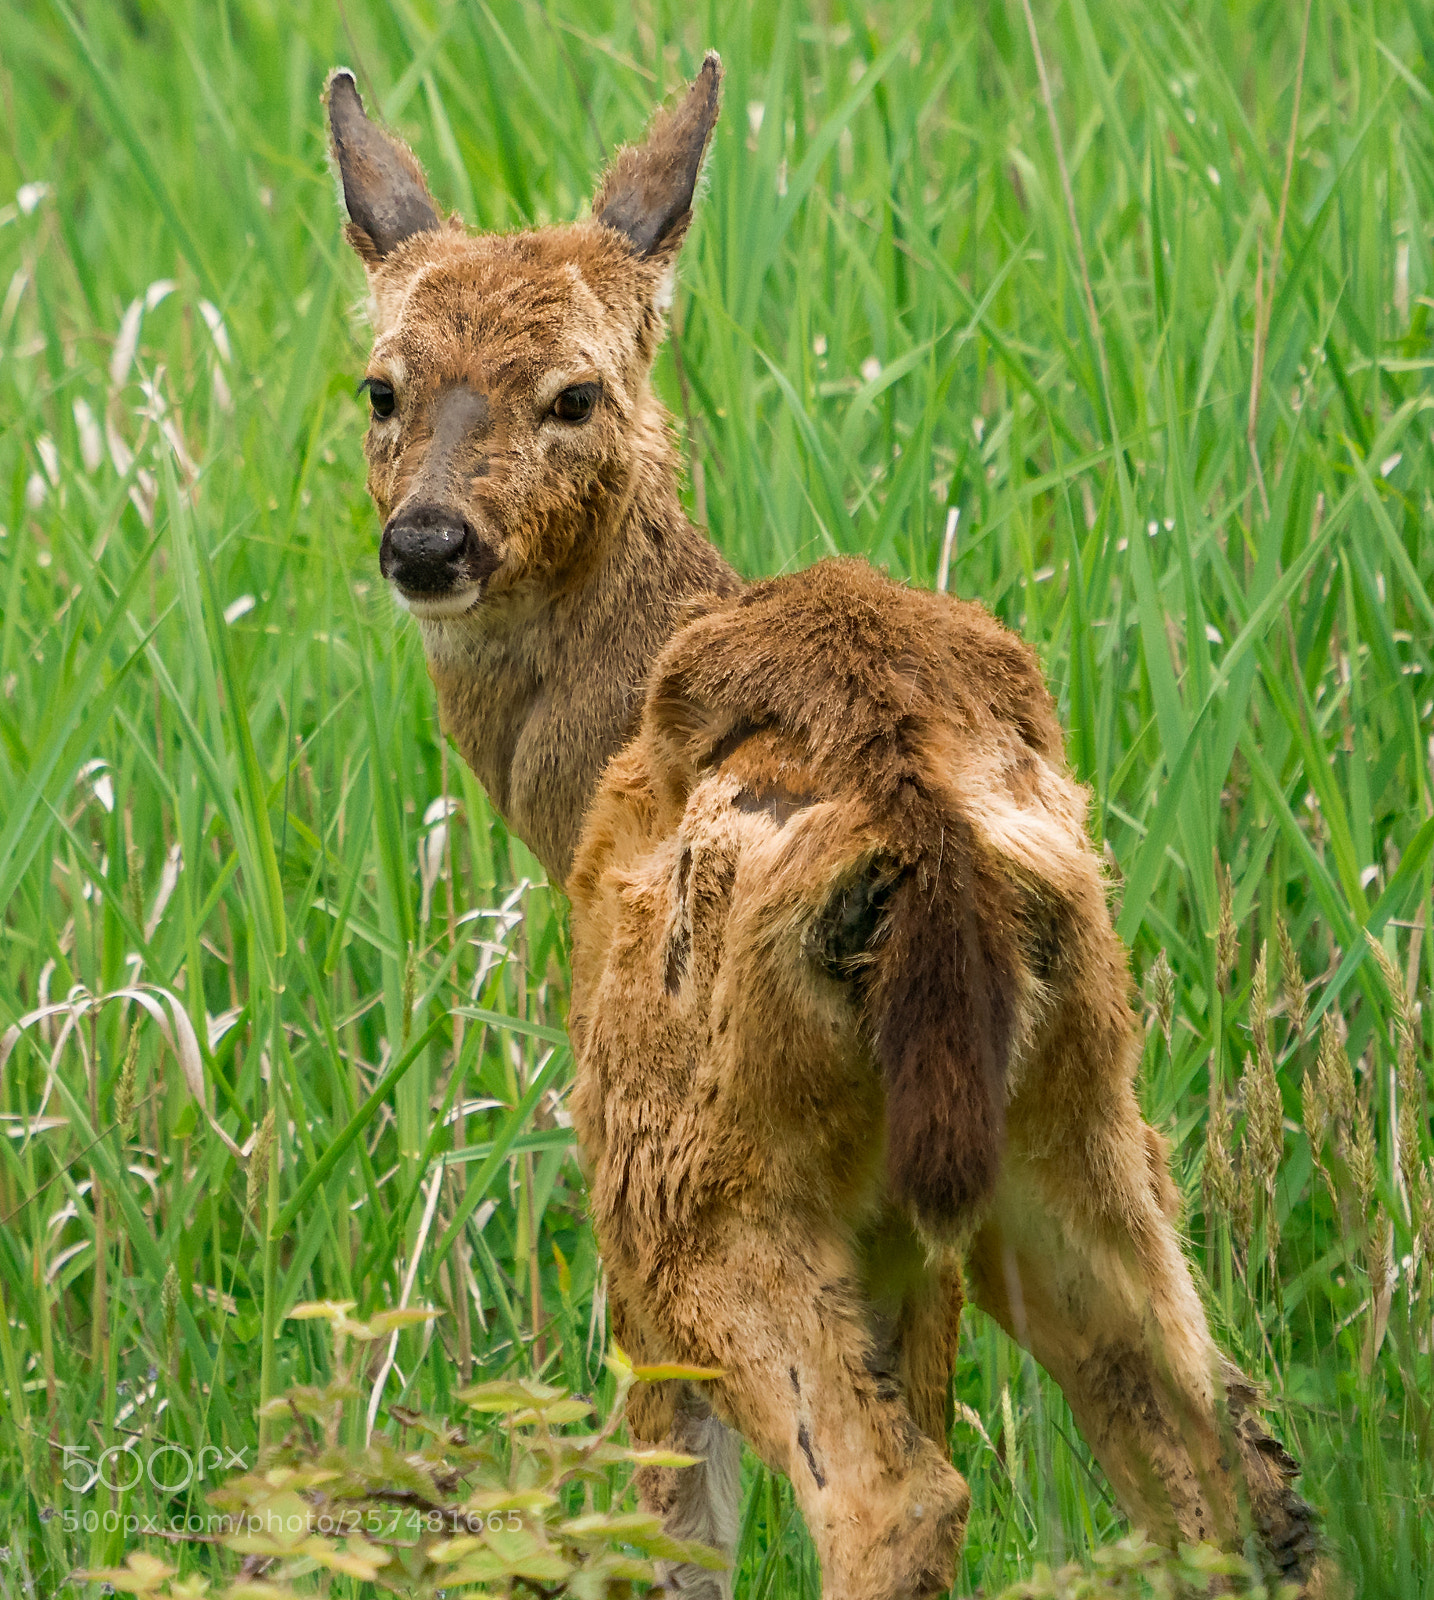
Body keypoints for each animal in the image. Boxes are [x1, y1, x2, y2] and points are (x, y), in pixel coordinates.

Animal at [326, 54, 1321, 1600]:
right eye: (383, 385)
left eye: (574, 392)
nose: (428, 543)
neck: (586, 765)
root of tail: (924, 832)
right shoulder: (904, 1237)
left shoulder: (629, 1179)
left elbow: (666, 1523)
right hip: (1074, 1120)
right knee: (1230, 1452)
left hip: (695, 1174)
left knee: (894, 1494)